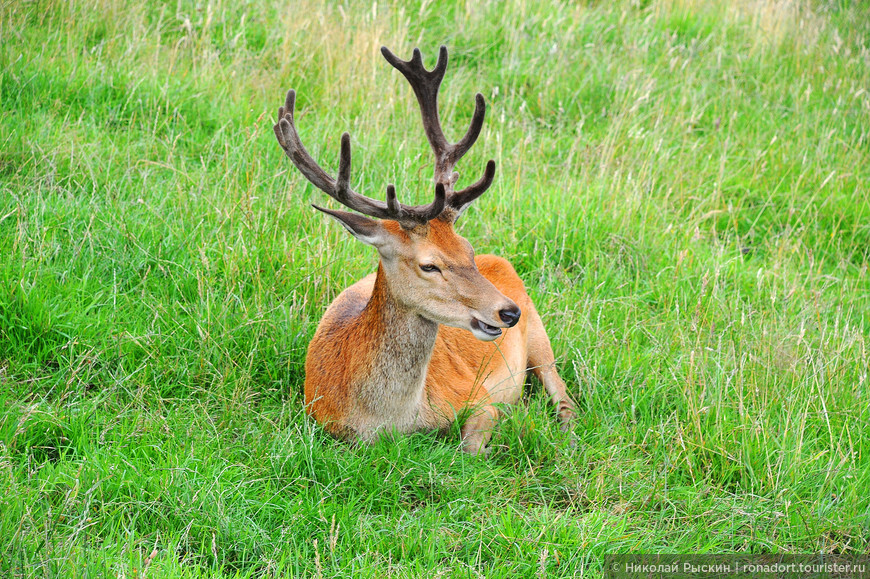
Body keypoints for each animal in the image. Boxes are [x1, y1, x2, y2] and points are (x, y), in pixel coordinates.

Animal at [276, 45, 576, 456]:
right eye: (429, 265)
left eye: (467, 249)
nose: (509, 311)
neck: (389, 422)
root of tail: (500, 261)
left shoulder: (479, 397)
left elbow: (470, 447)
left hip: (540, 338)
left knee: (562, 391)